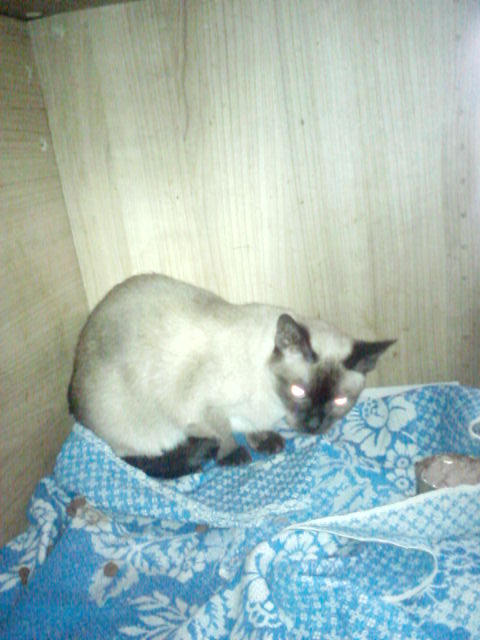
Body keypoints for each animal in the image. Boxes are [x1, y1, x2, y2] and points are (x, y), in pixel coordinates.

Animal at [68, 273, 394, 478]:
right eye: (298, 392)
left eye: (339, 401)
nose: (314, 426)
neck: (271, 399)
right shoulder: (199, 409)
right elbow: (223, 430)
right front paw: (233, 453)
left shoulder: (246, 414)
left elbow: (248, 427)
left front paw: (263, 440)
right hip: (142, 427)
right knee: (136, 460)